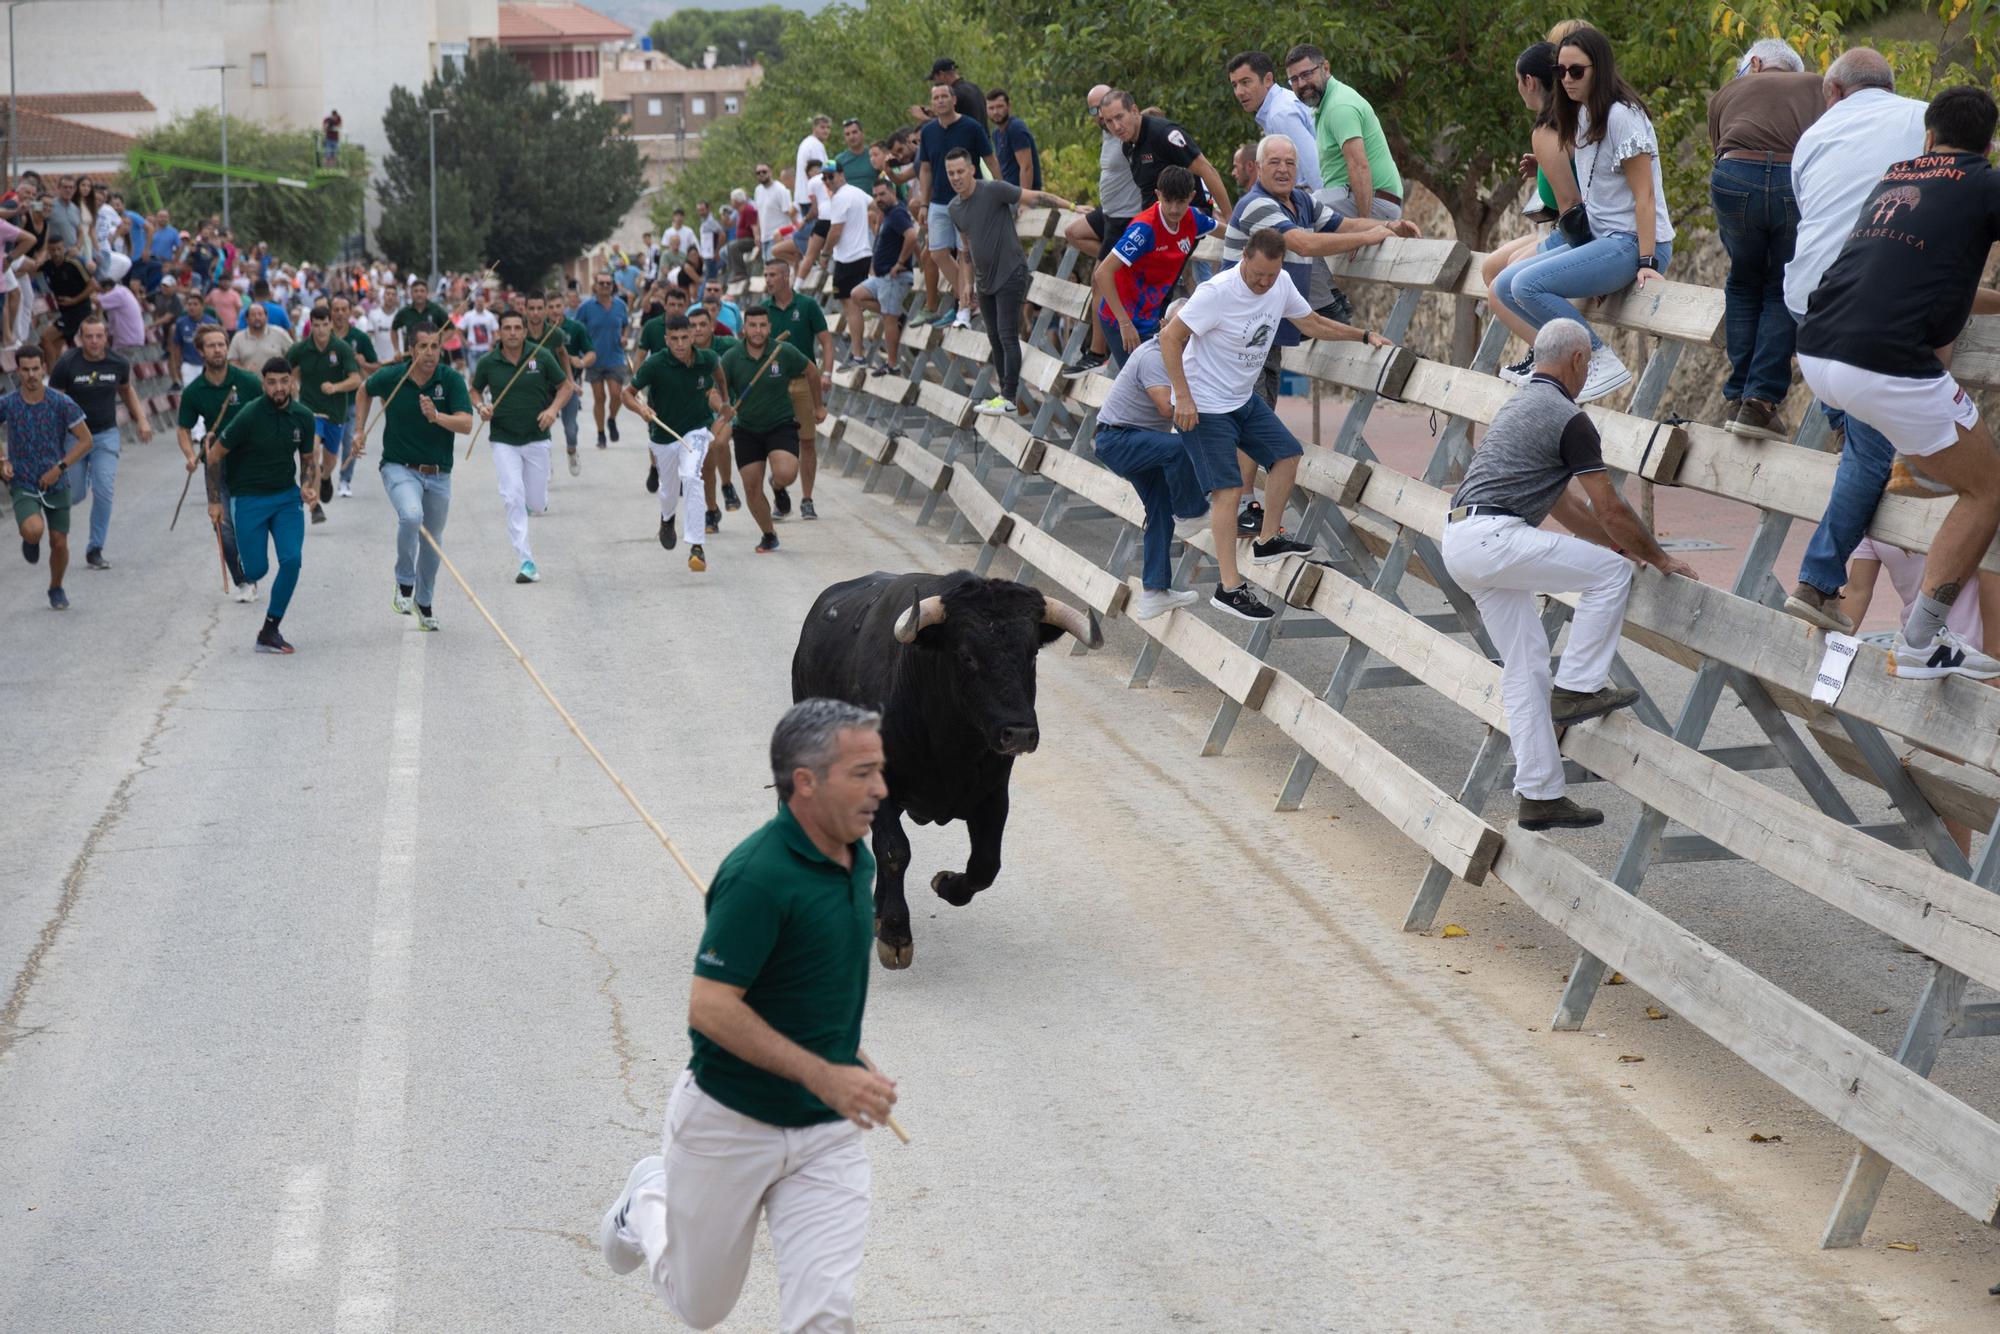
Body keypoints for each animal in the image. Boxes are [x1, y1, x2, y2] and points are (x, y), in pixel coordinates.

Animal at [792, 576, 1104, 972]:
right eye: (966, 655)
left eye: (1032, 653)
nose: (1019, 733)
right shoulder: (879, 788)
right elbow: (894, 851)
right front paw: (896, 935)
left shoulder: (993, 795)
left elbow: (985, 863)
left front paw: (945, 886)